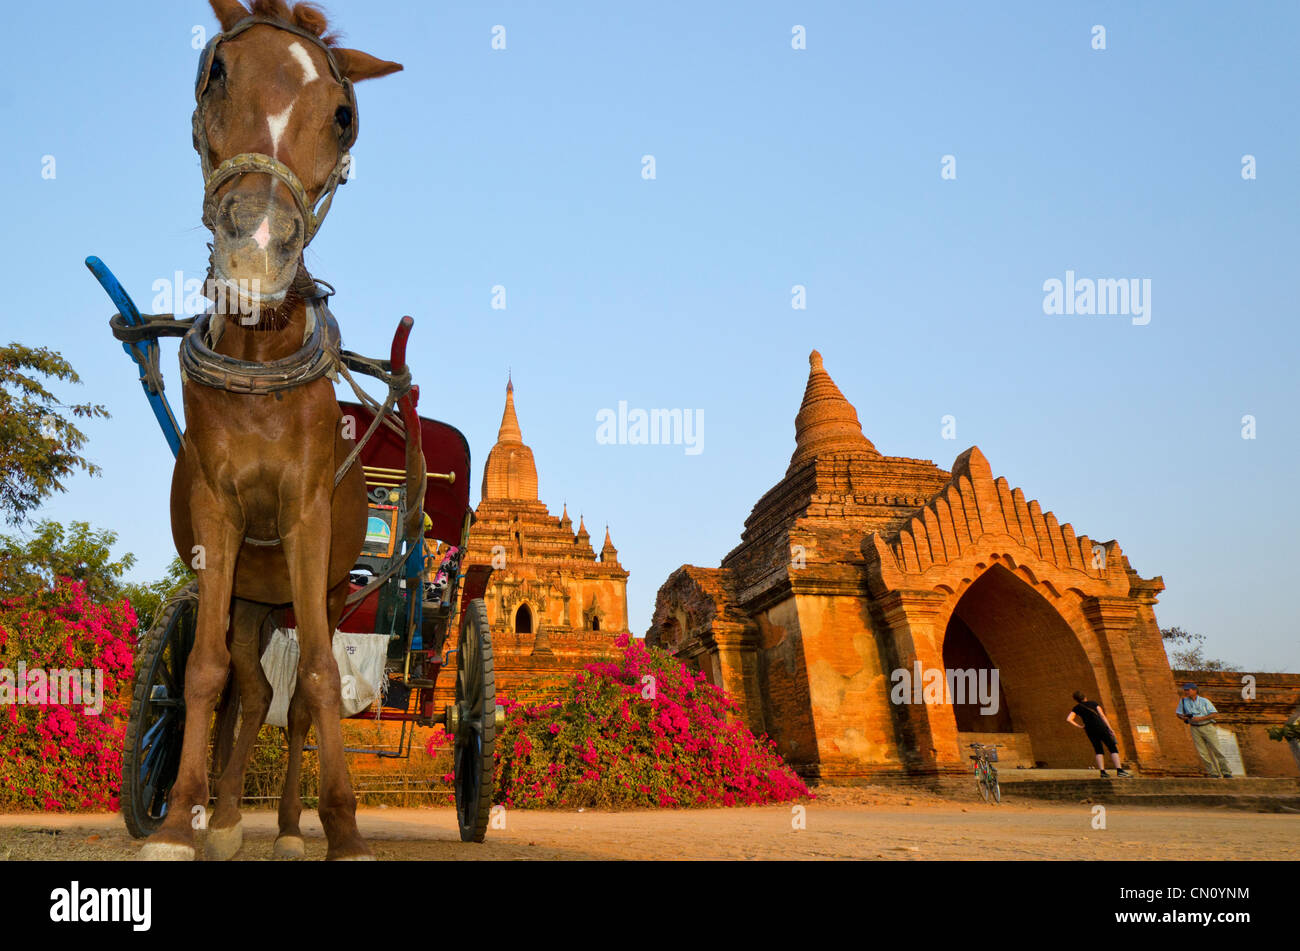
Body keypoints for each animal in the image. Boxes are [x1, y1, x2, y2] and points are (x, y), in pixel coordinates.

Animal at [137, 0, 400, 862]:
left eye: (345, 116)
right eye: (216, 72)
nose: (255, 246)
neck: (259, 361)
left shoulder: (307, 515)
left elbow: (318, 674)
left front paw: (342, 826)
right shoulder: (217, 512)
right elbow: (205, 671)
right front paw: (181, 822)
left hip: (315, 586)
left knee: (293, 702)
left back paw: (288, 826)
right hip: (254, 597)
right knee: (248, 691)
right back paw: (223, 817)